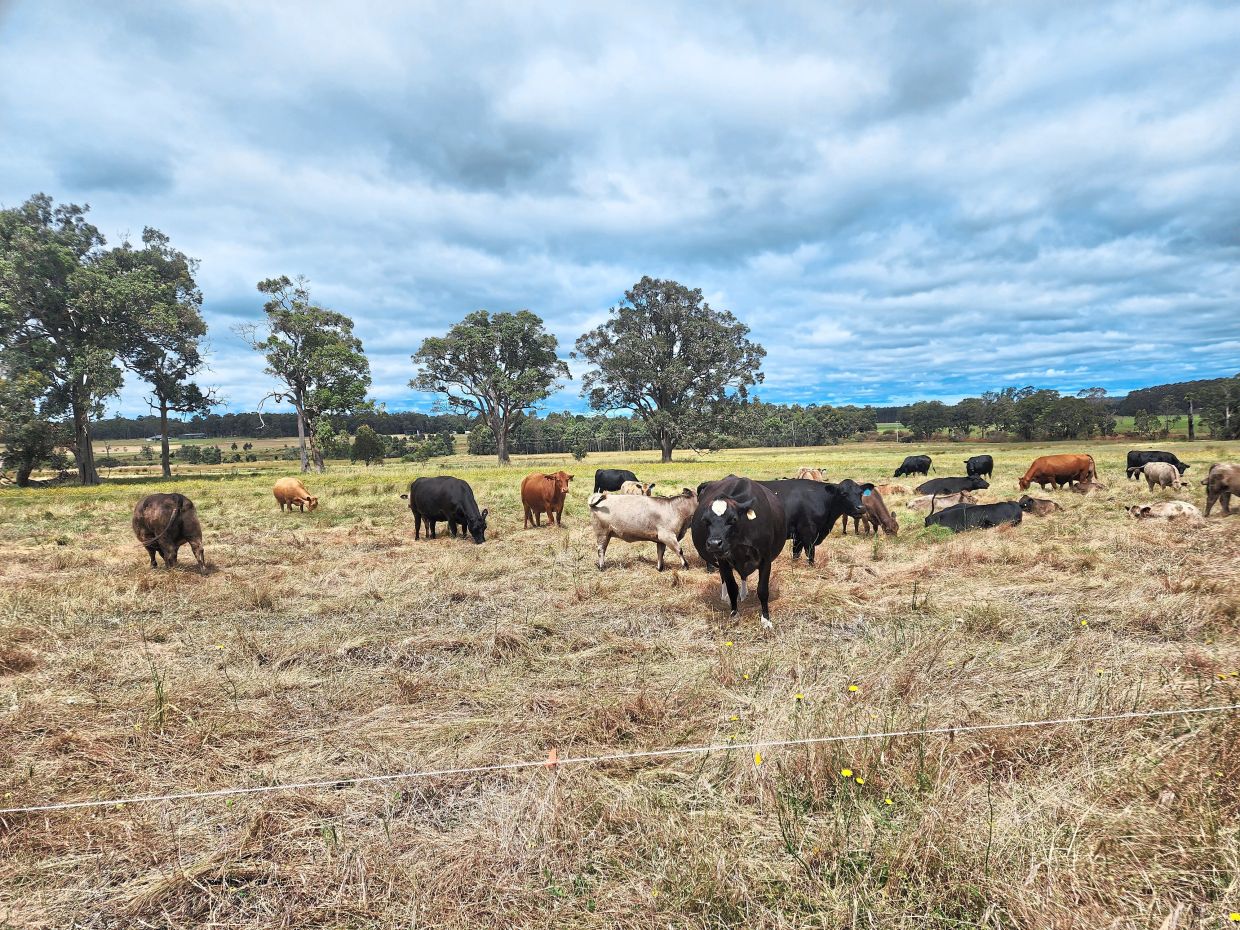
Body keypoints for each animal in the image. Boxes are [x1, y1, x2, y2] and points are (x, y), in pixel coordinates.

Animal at [691, 476, 786, 629]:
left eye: (733, 519)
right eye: (706, 520)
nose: (714, 544)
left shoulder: (765, 559)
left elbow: (762, 590)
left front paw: (766, 619)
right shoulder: (723, 560)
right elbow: (731, 587)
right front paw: (734, 614)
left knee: (743, 576)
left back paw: (744, 594)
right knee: (724, 579)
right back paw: (726, 597)